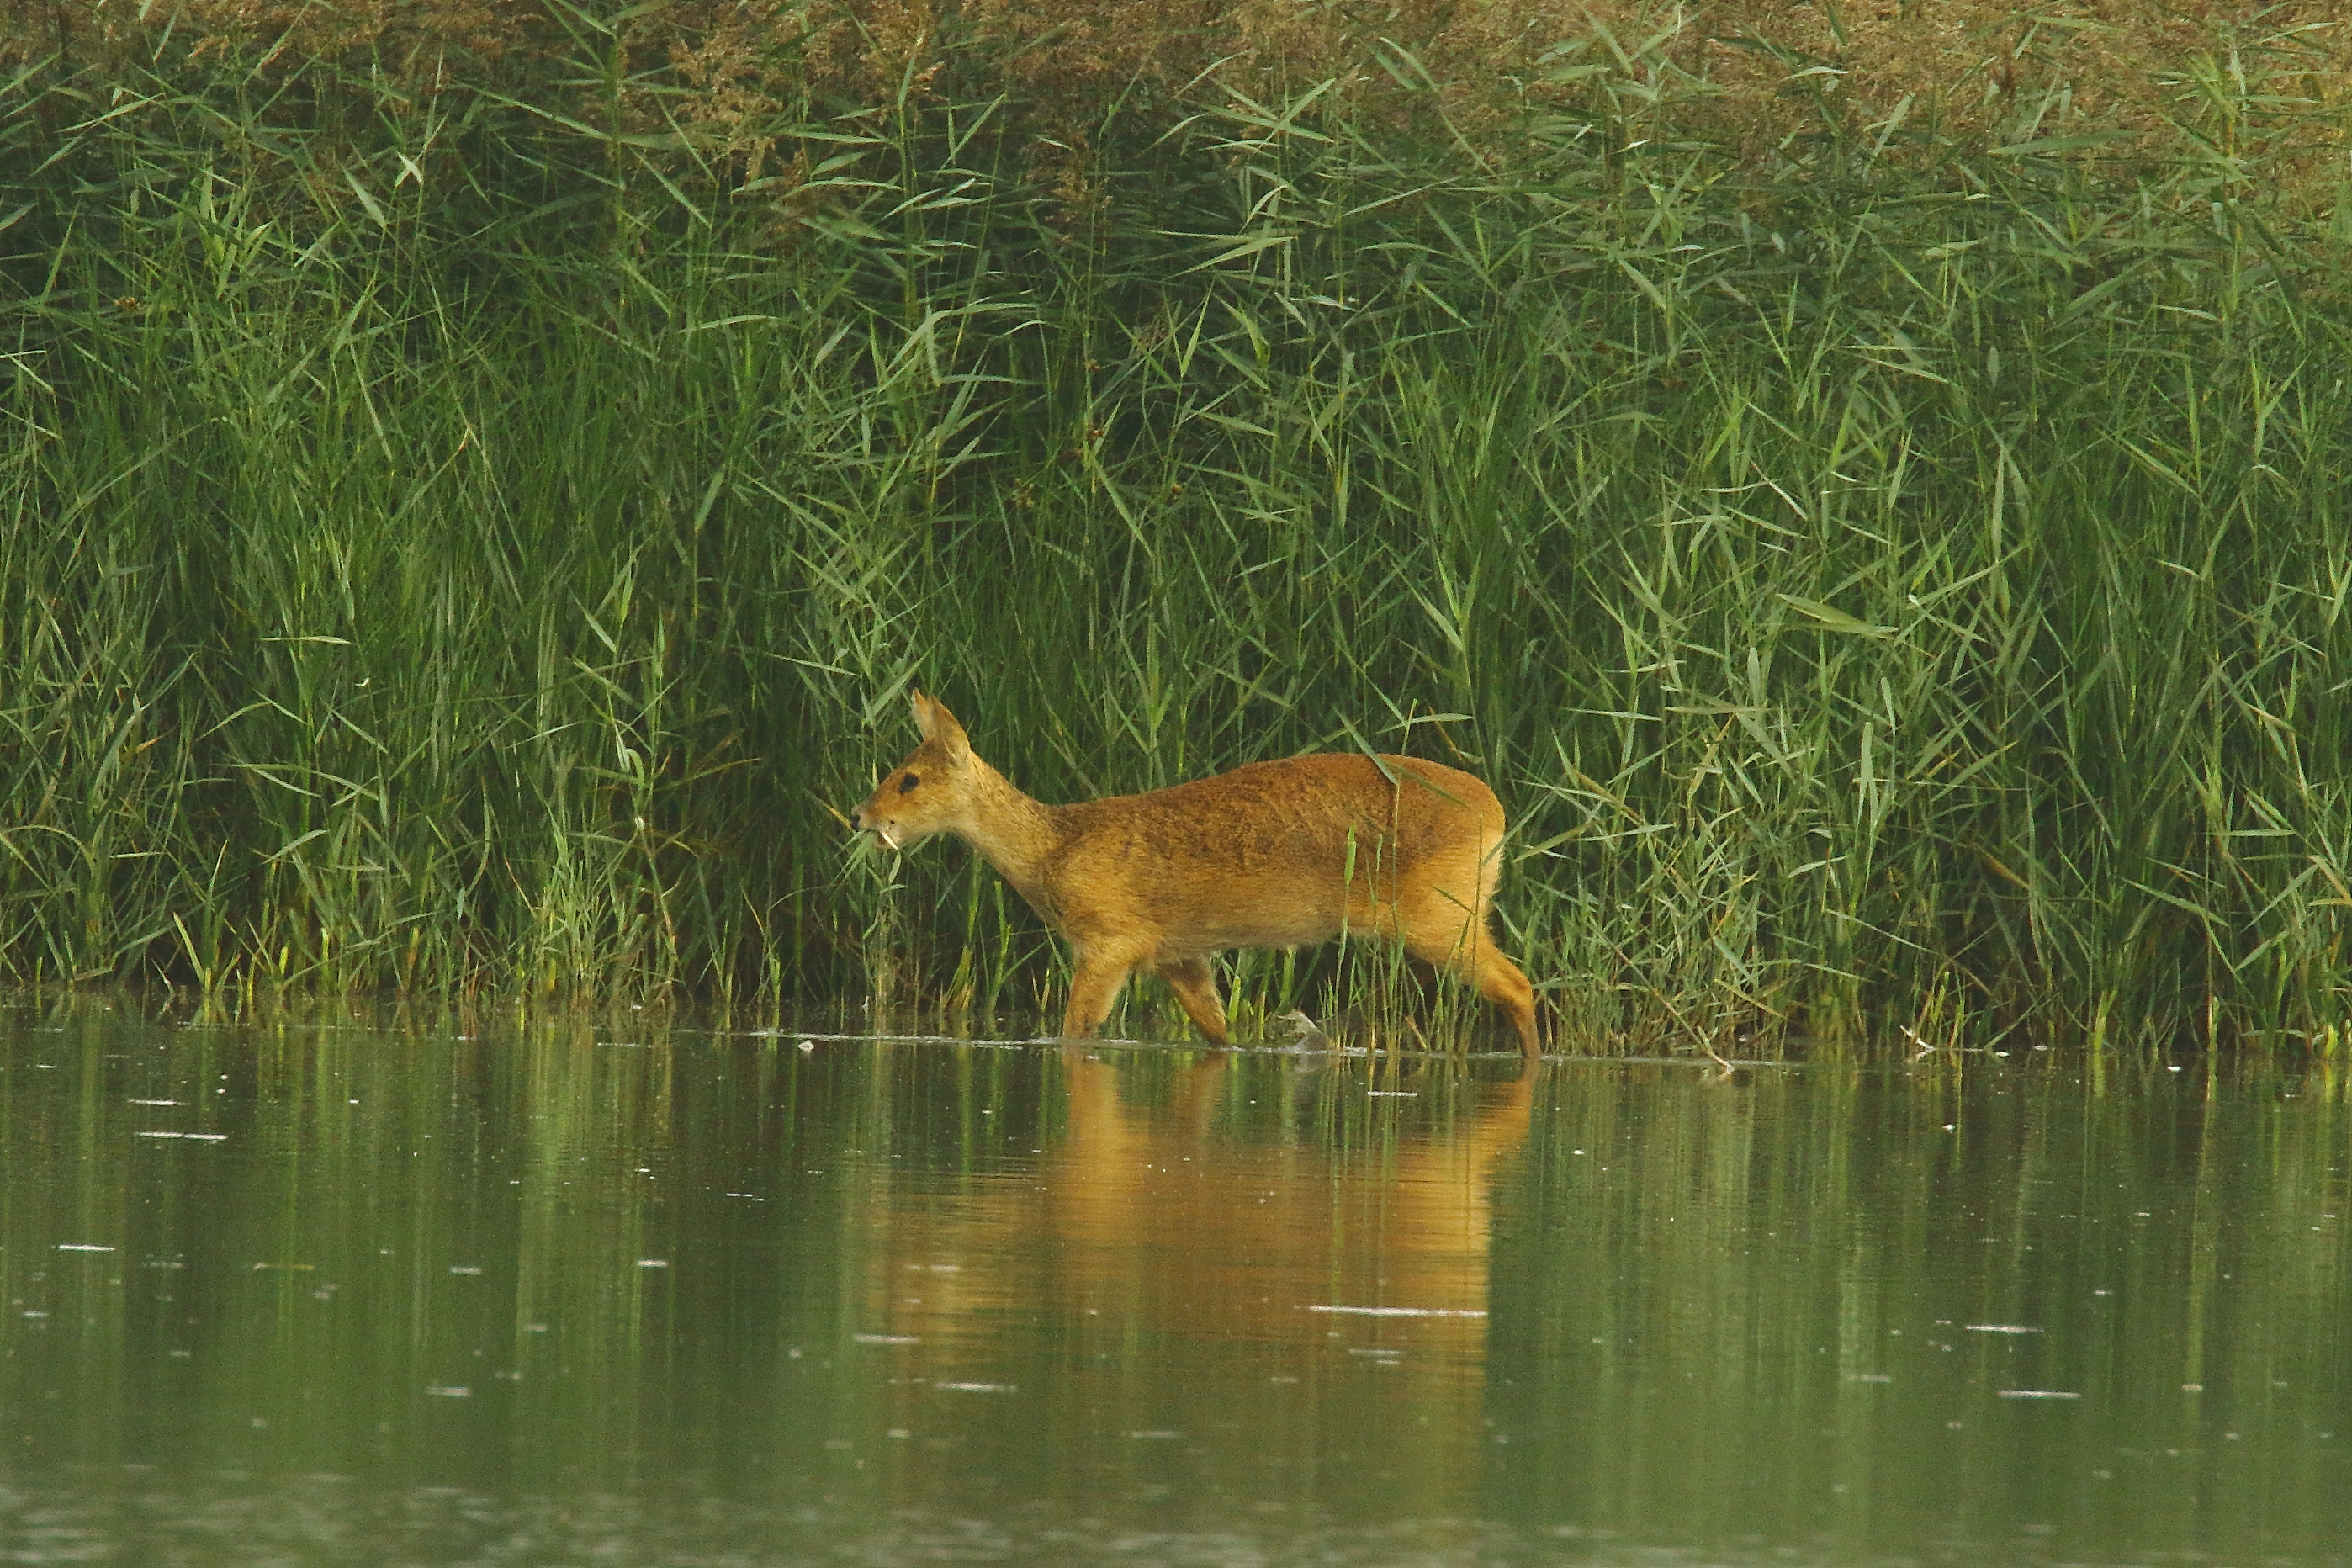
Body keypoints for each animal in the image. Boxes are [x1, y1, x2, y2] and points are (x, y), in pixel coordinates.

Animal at [846, 696, 1543, 1052]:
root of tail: (1495, 812)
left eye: (909, 779)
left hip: (1439, 914)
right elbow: (1218, 1032)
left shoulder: (1111, 939)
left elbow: (1075, 1031)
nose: (861, 815)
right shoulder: (1178, 954)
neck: (1054, 849)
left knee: (1517, 984)